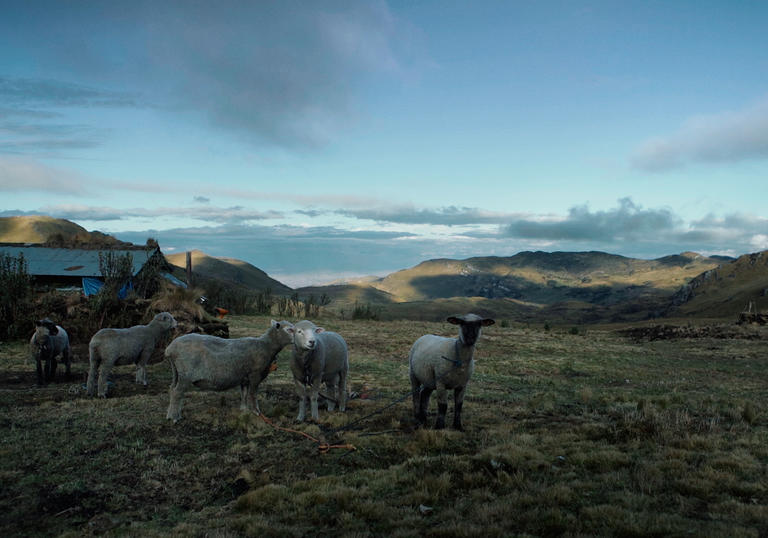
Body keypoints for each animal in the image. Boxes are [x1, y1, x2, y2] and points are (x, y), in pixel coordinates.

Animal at [164, 316, 294, 420]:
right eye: (289, 329)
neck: (266, 346)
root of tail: (170, 349)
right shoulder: (255, 375)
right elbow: (252, 394)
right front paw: (256, 412)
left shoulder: (245, 377)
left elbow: (244, 393)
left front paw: (244, 409)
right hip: (186, 374)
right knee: (177, 392)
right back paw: (175, 418)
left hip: (177, 372)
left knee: (172, 389)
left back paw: (170, 414)